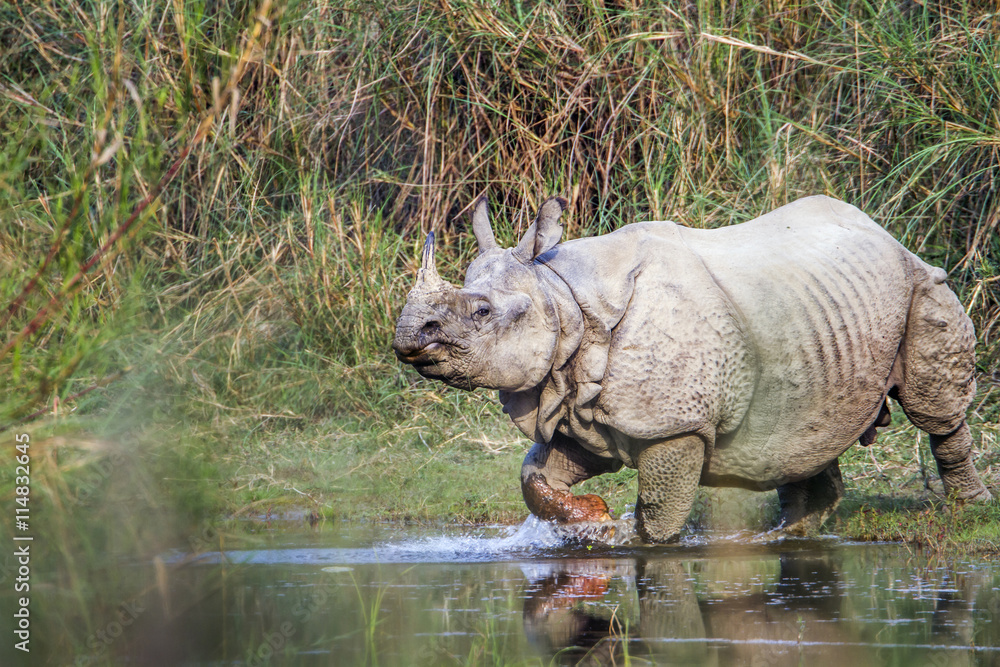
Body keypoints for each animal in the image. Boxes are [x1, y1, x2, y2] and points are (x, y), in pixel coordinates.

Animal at [392, 195, 992, 543]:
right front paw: (594, 519)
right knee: (806, 424)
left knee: (935, 410)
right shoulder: (573, 398)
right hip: (817, 308)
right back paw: (789, 534)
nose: (407, 337)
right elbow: (536, 475)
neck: (561, 297)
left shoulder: (671, 424)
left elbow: (659, 511)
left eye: (482, 312)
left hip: (920, 282)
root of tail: (885, 233)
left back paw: (969, 510)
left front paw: (633, 543)